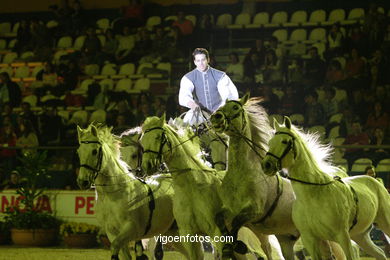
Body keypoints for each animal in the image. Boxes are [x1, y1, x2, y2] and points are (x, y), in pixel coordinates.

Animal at [76, 125, 190, 258]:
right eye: (79, 152)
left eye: (94, 151)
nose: (82, 181)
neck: (112, 194)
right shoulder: (112, 231)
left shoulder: (132, 228)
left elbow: (123, 248)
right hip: (172, 232)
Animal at [262, 116, 390, 260]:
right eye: (270, 142)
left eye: (284, 141)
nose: (266, 165)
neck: (313, 196)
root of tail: (375, 181)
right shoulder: (310, 239)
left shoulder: (342, 236)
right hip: (360, 235)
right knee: (380, 253)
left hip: (385, 223)